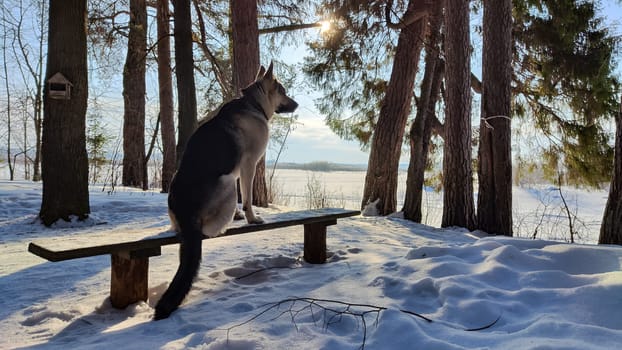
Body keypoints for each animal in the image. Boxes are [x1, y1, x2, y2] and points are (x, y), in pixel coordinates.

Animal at [157, 63, 302, 320]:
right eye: (283, 91)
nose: (297, 105)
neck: (252, 104)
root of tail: (186, 215)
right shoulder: (248, 166)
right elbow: (248, 198)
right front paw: (252, 218)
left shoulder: (238, 171)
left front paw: (239, 215)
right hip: (225, 183)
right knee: (209, 229)